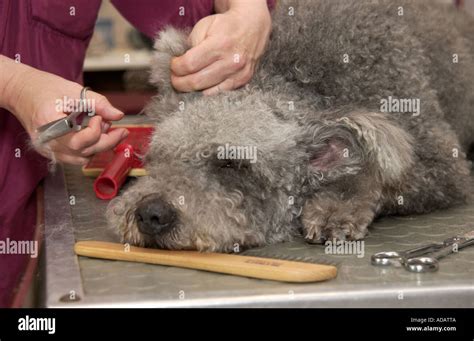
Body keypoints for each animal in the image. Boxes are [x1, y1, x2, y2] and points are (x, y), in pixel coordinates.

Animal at [107, 0, 474, 250]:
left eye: (231, 164)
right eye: (156, 158)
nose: (150, 214)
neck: (311, 81)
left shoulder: (442, 163)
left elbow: (381, 178)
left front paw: (337, 207)